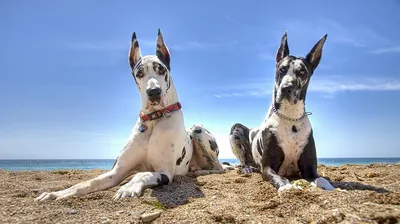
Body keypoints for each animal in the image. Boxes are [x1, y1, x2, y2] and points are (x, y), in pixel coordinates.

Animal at [35, 28, 225, 202]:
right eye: (139, 73)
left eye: (161, 70)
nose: (154, 92)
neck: (153, 120)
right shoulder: (116, 172)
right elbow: (86, 183)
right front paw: (56, 194)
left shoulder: (164, 172)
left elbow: (142, 174)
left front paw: (128, 187)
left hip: (197, 129)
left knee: (219, 167)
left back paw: (200, 171)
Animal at [228, 31, 334, 192]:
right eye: (282, 69)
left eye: (302, 72)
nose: (286, 88)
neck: (291, 117)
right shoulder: (268, 167)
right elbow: (280, 177)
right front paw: (287, 187)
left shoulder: (309, 170)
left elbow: (322, 179)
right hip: (235, 129)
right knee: (243, 160)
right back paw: (246, 168)